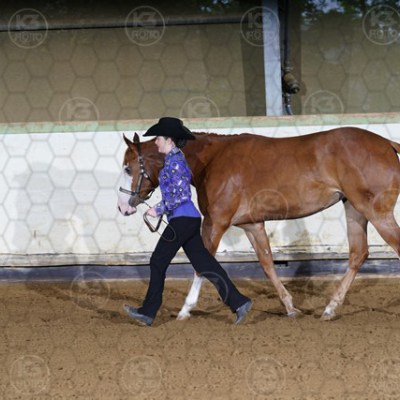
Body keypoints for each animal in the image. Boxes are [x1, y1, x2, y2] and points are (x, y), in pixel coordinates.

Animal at [117, 127, 400, 321]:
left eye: (128, 168)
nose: (123, 207)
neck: (213, 160)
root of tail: (387, 143)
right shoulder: (253, 225)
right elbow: (267, 264)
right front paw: (290, 307)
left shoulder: (215, 223)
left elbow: (202, 266)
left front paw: (185, 310)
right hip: (354, 210)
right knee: (358, 254)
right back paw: (329, 309)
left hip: (376, 212)